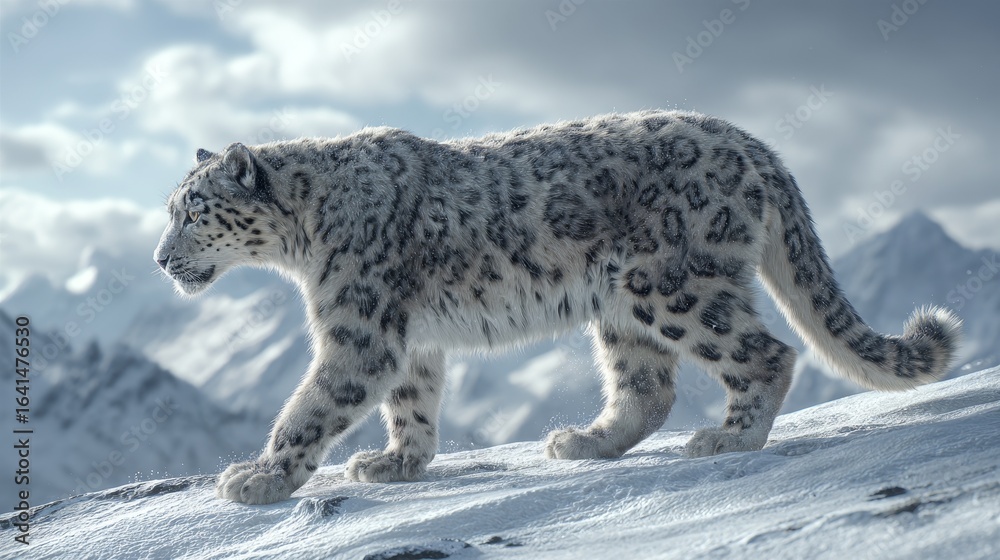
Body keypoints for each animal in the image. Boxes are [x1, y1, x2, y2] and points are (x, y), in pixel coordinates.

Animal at [153, 110, 962, 505]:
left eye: (192, 212)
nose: (160, 259)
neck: (303, 241)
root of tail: (752, 142)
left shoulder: (359, 329)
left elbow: (312, 404)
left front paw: (257, 478)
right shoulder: (408, 337)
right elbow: (412, 401)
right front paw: (396, 462)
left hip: (673, 286)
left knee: (766, 352)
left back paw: (728, 438)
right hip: (622, 307)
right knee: (647, 386)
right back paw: (585, 442)